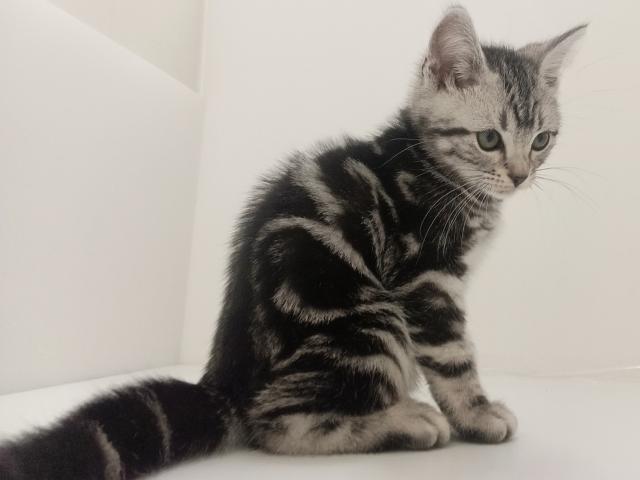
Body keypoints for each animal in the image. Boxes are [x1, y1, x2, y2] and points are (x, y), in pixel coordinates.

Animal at [0, 5, 585, 479]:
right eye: (488, 138)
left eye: (542, 140)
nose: (520, 176)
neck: (433, 168)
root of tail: (225, 381)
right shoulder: (426, 281)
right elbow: (454, 358)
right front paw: (478, 415)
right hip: (371, 320)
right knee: (277, 425)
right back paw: (406, 422)